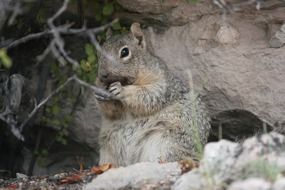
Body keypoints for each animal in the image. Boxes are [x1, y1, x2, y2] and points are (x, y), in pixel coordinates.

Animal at [95, 23, 209, 166]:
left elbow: (147, 95)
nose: (103, 75)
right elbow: (111, 112)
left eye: (125, 52)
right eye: (100, 51)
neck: (127, 80)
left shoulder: (160, 84)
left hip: (166, 140)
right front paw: (99, 93)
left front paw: (122, 90)